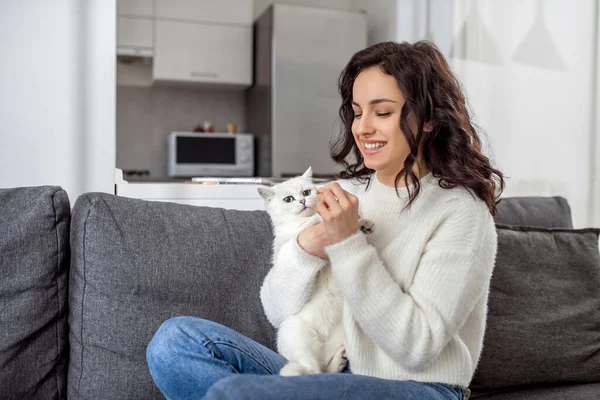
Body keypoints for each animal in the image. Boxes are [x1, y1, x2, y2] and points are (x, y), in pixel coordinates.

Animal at [258, 165, 372, 376]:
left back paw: (340, 358)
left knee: (326, 368)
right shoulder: (292, 235)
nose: (302, 201)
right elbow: (308, 224)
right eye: (288, 199)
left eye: (306, 192)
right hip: (294, 333)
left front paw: (365, 223)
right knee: (314, 369)